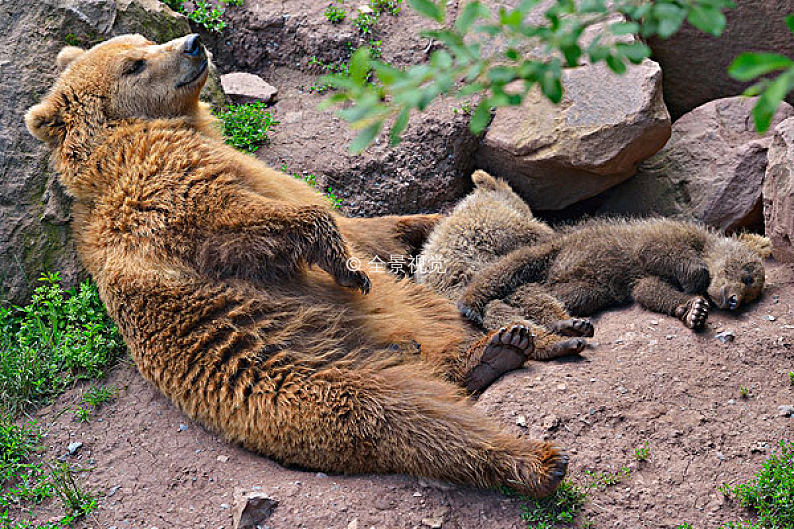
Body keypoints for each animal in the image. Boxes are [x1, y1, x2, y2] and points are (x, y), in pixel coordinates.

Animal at [24, 33, 568, 496]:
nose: (194, 43)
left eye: (143, 41)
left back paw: (511, 343)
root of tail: (408, 355)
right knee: (409, 419)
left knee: (444, 329)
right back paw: (536, 454)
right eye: (134, 63)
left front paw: (431, 219)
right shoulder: (155, 192)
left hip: (416, 309)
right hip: (303, 383)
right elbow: (238, 221)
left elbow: (364, 227)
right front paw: (346, 267)